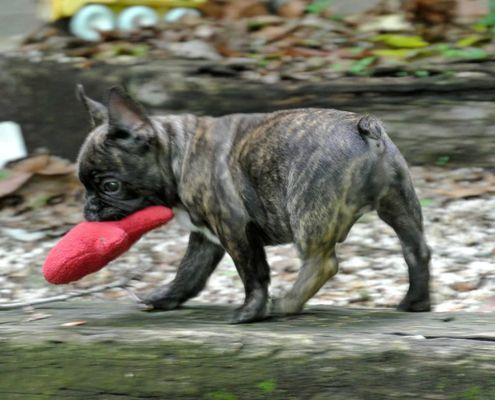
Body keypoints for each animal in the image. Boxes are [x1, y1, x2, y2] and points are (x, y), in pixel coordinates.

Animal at [76, 86, 430, 324]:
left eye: (110, 186)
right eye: (83, 185)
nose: (89, 208)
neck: (179, 152)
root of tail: (364, 129)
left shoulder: (234, 228)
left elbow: (253, 273)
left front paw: (250, 312)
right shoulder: (206, 237)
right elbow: (189, 271)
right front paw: (166, 297)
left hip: (308, 208)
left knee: (322, 263)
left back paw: (286, 304)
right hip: (399, 202)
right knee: (416, 250)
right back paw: (416, 302)